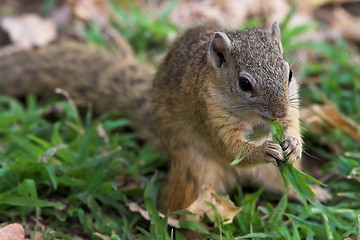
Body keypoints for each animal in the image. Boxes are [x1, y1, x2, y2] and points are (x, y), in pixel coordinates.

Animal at [0, 22, 330, 212]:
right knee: (182, 201)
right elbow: (229, 147)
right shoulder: (207, 112)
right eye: (245, 83)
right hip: (195, 171)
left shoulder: (291, 102)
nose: (278, 111)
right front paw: (266, 148)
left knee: (280, 182)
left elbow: (292, 122)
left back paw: (314, 193)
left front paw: (292, 142)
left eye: (289, 72)